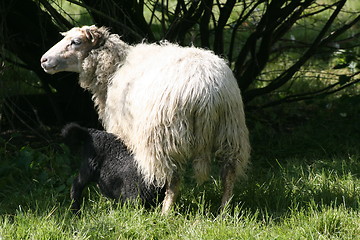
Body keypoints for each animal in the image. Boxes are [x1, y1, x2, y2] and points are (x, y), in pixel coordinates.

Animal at [40, 25, 250, 214]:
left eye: (76, 42)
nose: (44, 60)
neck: (114, 67)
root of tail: (206, 91)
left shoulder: (123, 131)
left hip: (164, 137)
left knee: (173, 178)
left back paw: (165, 212)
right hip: (231, 130)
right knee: (229, 173)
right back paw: (223, 211)